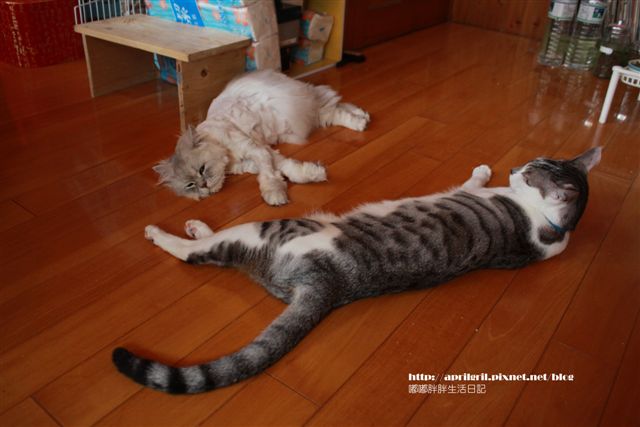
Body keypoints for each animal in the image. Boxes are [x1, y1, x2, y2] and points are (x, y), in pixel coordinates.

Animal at [113, 147, 601, 394]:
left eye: (531, 174)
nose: (515, 167)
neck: (555, 226)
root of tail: (329, 283)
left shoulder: (471, 192)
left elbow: (472, 181)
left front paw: (484, 170)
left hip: (273, 229)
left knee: (198, 253)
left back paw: (170, 232)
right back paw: (195, 225)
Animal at [152, 70, 370, 206]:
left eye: (202, 169)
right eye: (190, 186)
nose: (203, 186)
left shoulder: (255, 149)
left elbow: (268, 175)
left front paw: (274, 194)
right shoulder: (257, 157)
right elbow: (285, 168)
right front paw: (312, 174)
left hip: (304, 115)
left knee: (335, 109)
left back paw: (360, 122)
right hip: (310, 118)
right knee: (337, 107)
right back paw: (363, 116)